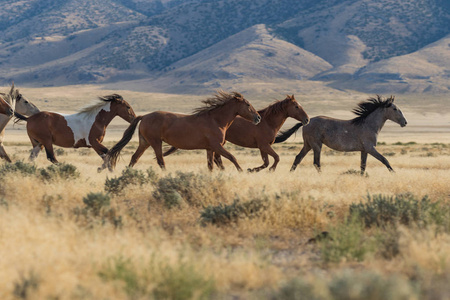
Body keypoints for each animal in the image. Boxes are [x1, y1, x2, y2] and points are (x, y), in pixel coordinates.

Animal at [108, 90, 260, 171]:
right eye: (248, 105)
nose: (258, 117)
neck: (216, 120)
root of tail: (144, 116)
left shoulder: (210, 148)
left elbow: (211, 165)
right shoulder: (217, 146)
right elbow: (232, 157)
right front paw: (241, 171)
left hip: (144, 142)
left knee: (134, 158)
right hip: (155, 142)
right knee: (160, 161)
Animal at [164, 95, 310, 172]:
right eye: (296, 107)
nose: (307, 119)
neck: (267, 122)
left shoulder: (262, 147)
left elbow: (266, 162)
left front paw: (252, 170)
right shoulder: (264, 145)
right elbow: (276, 158)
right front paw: (267, 170)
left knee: (217, 158)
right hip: (219, 144)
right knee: (218, 158)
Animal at [274, 95, 408, 175]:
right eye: (395, 109)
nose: (405, 122)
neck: (368, 125)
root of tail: (306, 122)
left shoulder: (364, 150)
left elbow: (363, 166)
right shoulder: (370, 148)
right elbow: (385, 160)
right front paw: (394, 173)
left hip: (308, 145)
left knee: (298, 158)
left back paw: (290, 173)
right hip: (316, 145)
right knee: (316, 162)